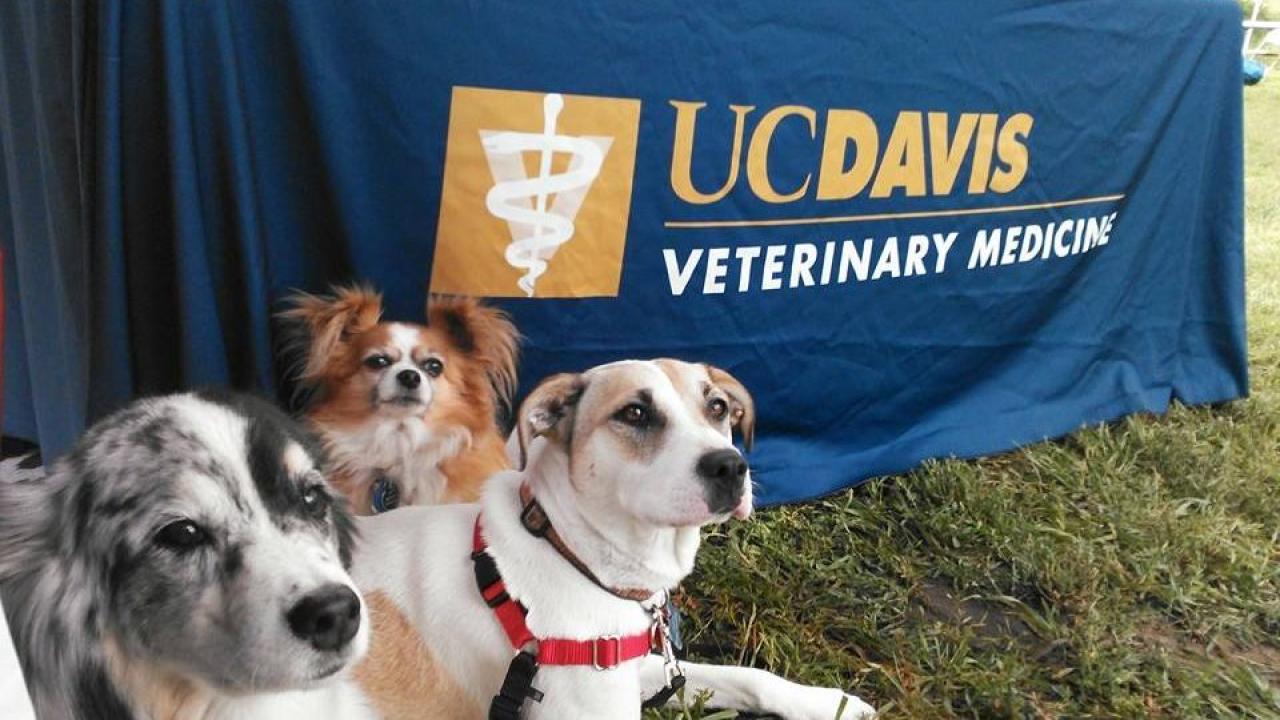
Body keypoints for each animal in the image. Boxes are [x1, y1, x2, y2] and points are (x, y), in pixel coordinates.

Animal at [345, 358, 875, 717]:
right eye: (635, 413)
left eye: (718, 407)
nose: (731, 466)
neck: (570, 554)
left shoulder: (639, 667)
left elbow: (749, 676)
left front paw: (829, 701)